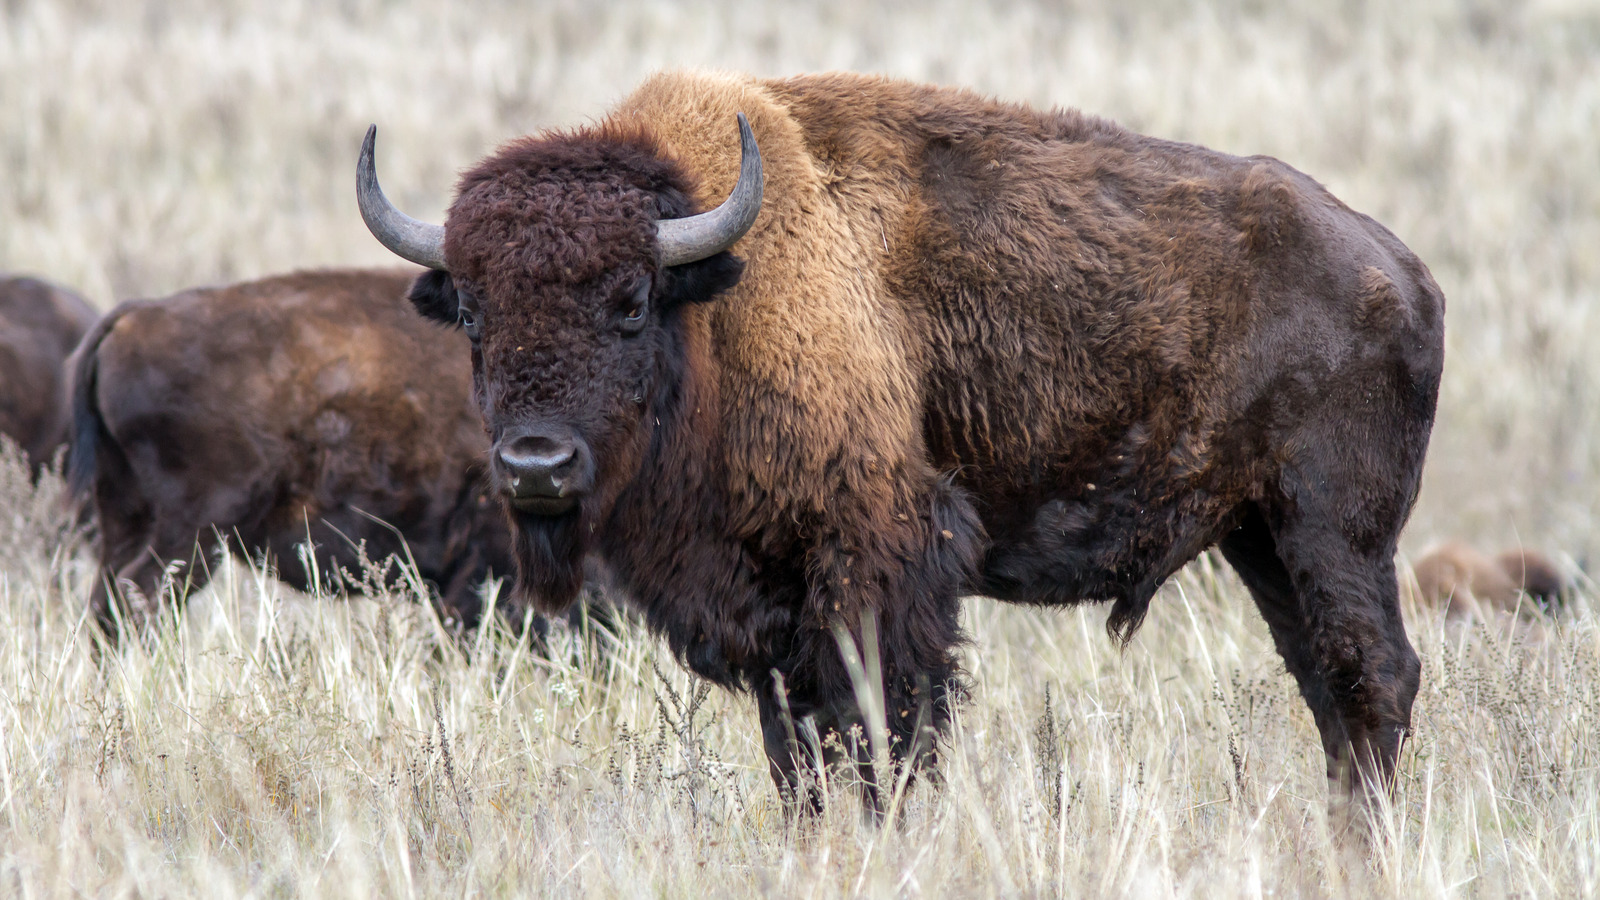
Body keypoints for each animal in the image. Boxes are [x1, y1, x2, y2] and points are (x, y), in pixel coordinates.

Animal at [358, 71, 1445, 810]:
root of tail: (1397, 267)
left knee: (1371, 676)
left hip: (1332, 531)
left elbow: (884, 729)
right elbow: (797, 751)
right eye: (473, 313)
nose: (534, 465)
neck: (718, 297)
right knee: (1326, 685)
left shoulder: (879, 567)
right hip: (1260, 537)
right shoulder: (770, 612)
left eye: (629, 301)